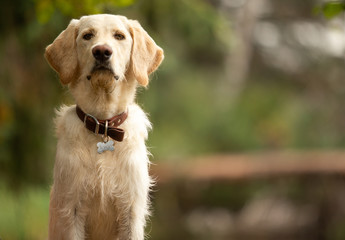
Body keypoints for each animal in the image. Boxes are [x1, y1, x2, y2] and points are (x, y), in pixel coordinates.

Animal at [44, 14, 163, 240]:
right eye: (87, 35)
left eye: (119, 36)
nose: (101, 51)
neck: (103, 125)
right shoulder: (71, 208)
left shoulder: (130, 210)